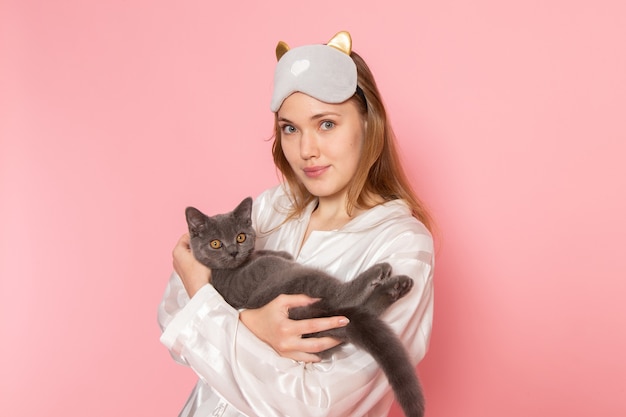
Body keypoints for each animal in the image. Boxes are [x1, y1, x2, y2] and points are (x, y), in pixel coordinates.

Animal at [185, 197, 424, 416]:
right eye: (215, 243)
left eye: (240, 237)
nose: (233, 252)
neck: (233, 267)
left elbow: (263, 252)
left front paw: (282, 252)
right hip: (293, 277)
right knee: (341, 297)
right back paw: (381, 274)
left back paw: (396, 288)